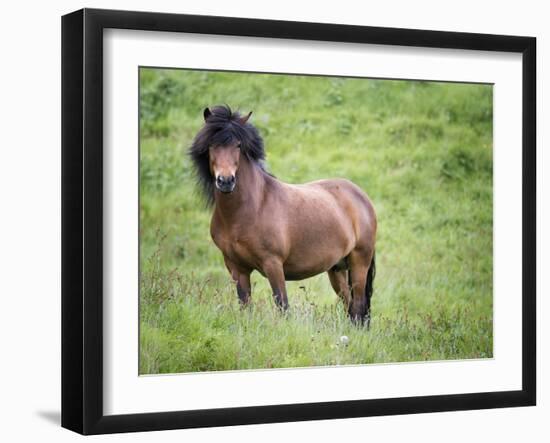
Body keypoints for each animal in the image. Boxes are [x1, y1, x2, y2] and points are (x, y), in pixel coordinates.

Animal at [190, 105, 380, 326]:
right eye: (212, 145)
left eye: (238, 145)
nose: (226, 181)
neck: (250, 210)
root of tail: (361, 196)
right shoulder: (236, 268)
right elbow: (245, 306)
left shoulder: (273, 264)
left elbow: (282, 305)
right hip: (337, 269)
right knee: (349, 305)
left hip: (359, 262)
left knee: (357, 306)